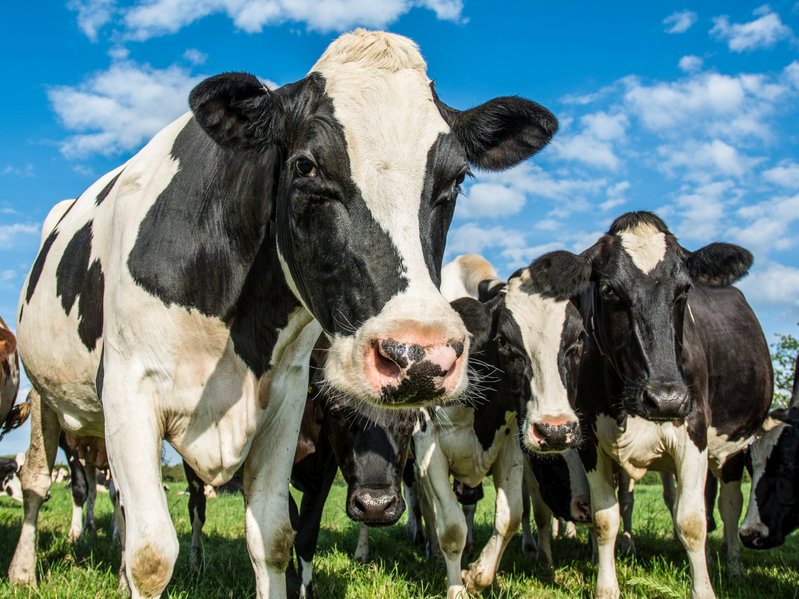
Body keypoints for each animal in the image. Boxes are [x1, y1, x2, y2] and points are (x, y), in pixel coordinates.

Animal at [9, 30, 558, 598]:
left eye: (456, 178)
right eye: (306, 166)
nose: (419, 356)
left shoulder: (286, 401)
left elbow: (274, 537)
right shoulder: (127, 390)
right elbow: (151, 555)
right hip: (44, 395)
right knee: (37, 483)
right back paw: (24, 570)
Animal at [414, 251, 590, 598]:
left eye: (578, 338)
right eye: (505, 341)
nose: (555, 431)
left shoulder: (510, 444)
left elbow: (510, 517)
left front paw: (477, 575)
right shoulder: (429, 447)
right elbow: (450, 527)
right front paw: (456, 588)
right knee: (430, 511)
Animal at [575, 211, 771, 599]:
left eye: (684, 291)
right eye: (609, 290)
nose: (666, 398)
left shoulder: (693, 432)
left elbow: (691, 521)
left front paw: (704, 589)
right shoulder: (591, 440)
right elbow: (605, 518)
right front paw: (606, 586)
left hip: (732, 448)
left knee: (727, 505)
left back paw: (734, 566)